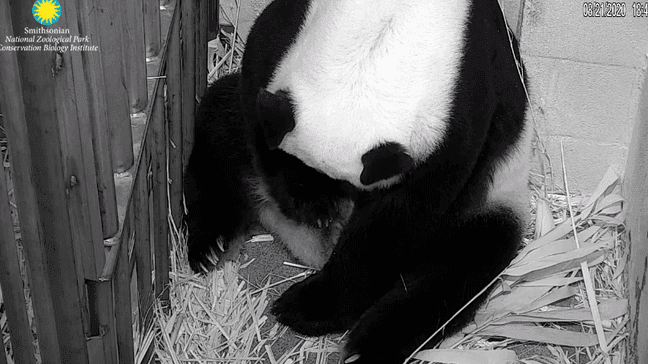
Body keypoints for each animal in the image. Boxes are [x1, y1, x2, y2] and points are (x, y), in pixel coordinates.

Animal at [238, 0, 532, 362]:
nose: (330, 207)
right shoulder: (293, 26)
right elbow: (259, 85)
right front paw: (311, 206)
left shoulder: (460, 103)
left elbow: (398, 218)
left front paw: (314, 306)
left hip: (497, 189)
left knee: (459, 265)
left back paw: (365, 341)